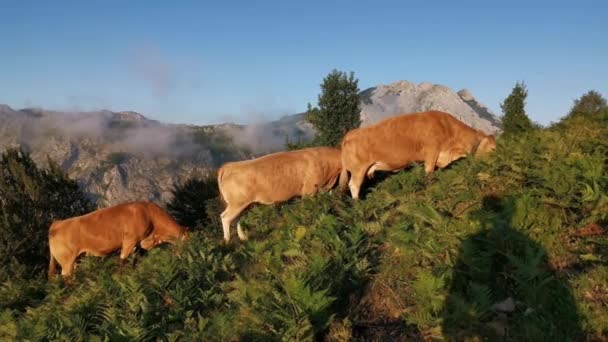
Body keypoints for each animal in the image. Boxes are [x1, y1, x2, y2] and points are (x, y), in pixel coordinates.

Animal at [47, 200, 186, 278]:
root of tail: (58, 223)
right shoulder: (130, 241)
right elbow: (122, 262)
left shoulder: (139, 245)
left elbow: (135, 263)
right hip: (67, 260)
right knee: (66, 278)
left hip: (76, 259)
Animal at [340, 111, 496, 199]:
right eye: (492, 149)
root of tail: (351, 133)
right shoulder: (431, 153)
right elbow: (429, 174)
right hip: (358, 170)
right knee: (354, 185)